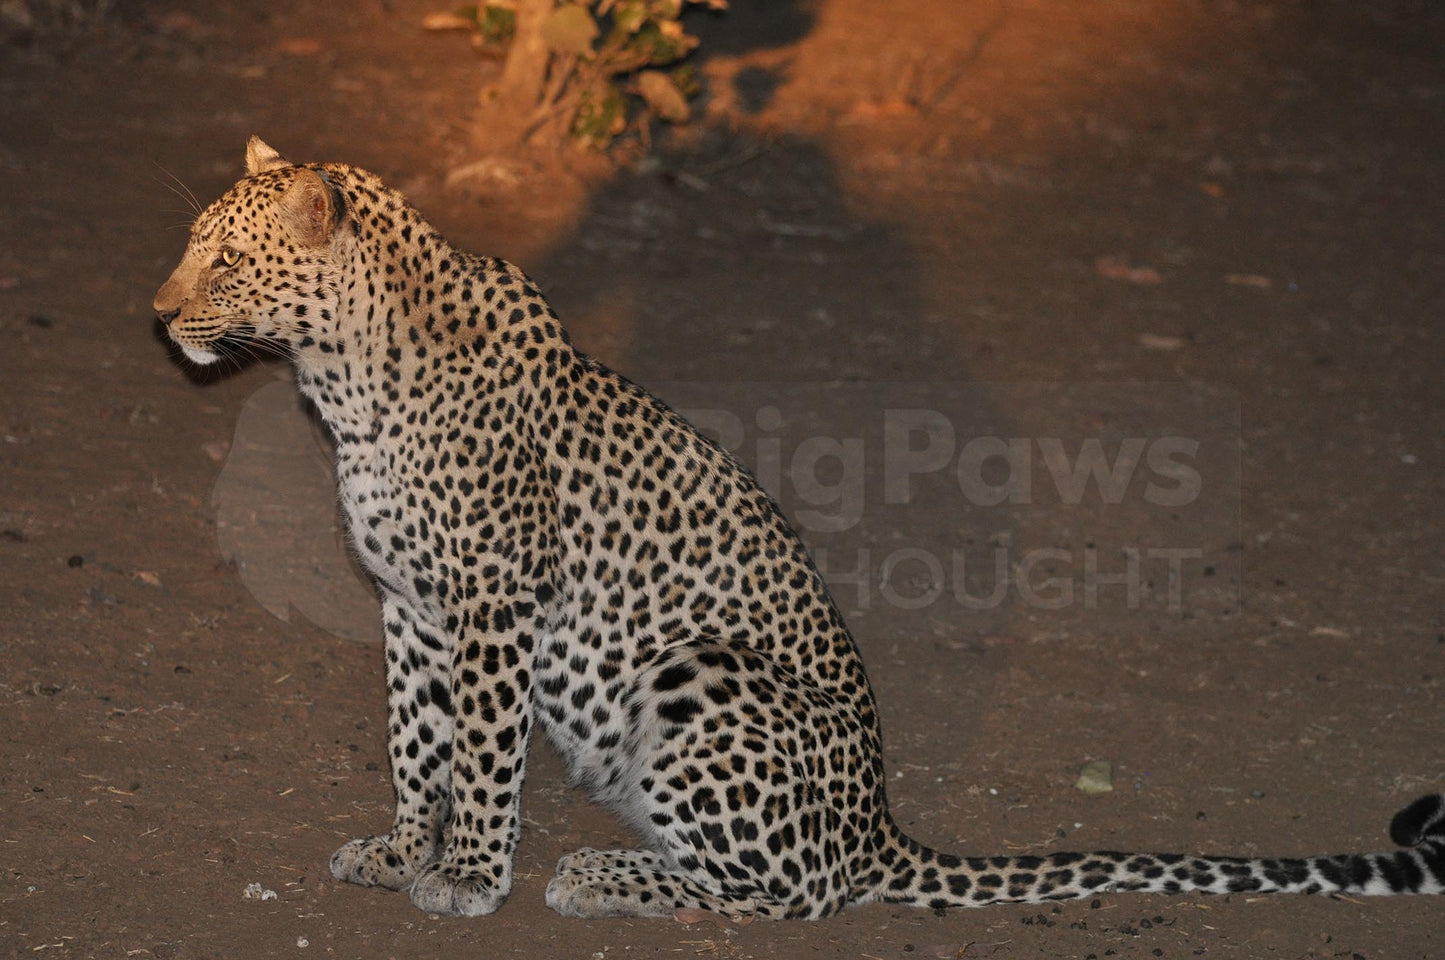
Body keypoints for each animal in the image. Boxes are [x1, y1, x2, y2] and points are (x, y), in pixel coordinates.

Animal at [152, 136, 1439, 925]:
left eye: (223, 256)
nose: (157, 316)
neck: (342, 377)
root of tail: (877, 828)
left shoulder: (494, 605)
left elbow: (478, 751)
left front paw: (468, 873)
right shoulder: (412, 609)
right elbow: (414, 741)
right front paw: (400, 847)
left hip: (699, 671)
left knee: (783, 895)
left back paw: (600, 873)